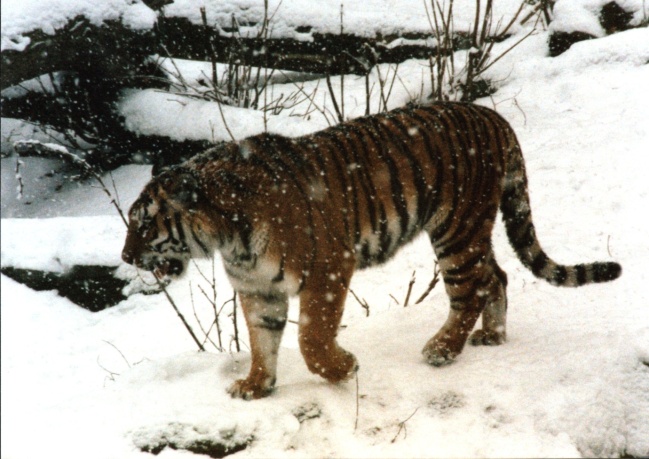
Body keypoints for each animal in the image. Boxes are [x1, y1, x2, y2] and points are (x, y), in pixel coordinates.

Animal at [121, 100, 624, 398]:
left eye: (143, 223)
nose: (126, 257)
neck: (228, 239)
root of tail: (491, 115)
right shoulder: (258, 288)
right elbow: (262, 340)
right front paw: (256, 385)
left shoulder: (327, 269)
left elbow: (310, 338)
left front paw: (344, 368)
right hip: (471, 231)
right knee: (495, 275)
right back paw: (492, 336)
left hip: (456, 230)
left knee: (471, 289)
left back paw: (442, 350)